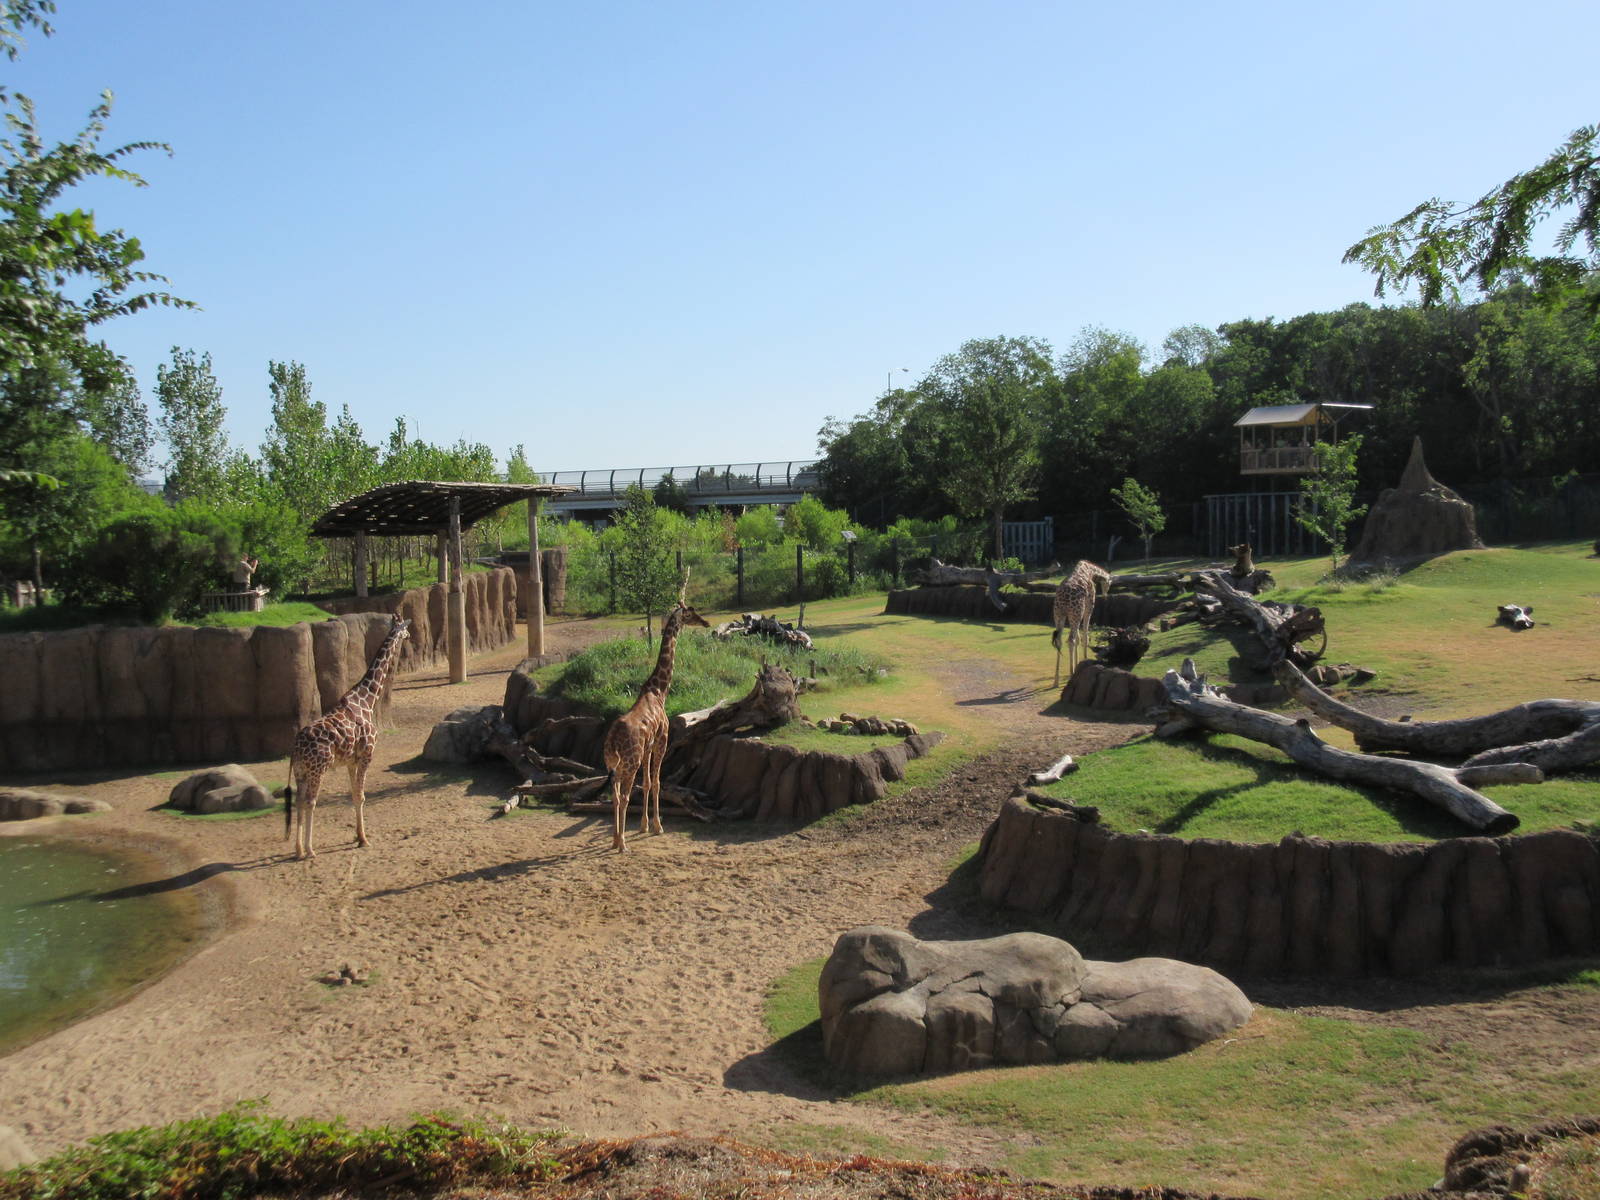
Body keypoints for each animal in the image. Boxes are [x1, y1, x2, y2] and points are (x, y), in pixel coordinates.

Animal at [283, 614, 411, 860]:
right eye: (404, 628)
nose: (409, 636)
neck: (368, 699)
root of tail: (296, 747)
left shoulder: (351, 761)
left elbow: (354, 795)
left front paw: (358, 837)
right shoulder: (367, 755)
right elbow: (361, 796)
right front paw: (365, 839)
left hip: (300, 771)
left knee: (298, 802)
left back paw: (299, 849)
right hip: (317, 769)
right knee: (310, 801)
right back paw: (310, 850)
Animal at [600, 581, 709, 851]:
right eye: (692, 613)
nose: (706, 623)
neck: (659, 690)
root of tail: (613, 739)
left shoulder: (649, 746)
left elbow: (648, 782)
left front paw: (644, 826)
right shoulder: (662, 740)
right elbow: (658, 782)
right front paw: (658, 827)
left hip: (613, 762)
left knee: (615, 794)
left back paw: (616, 839)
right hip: (630, 761)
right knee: (625, 795)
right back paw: (623, 844)